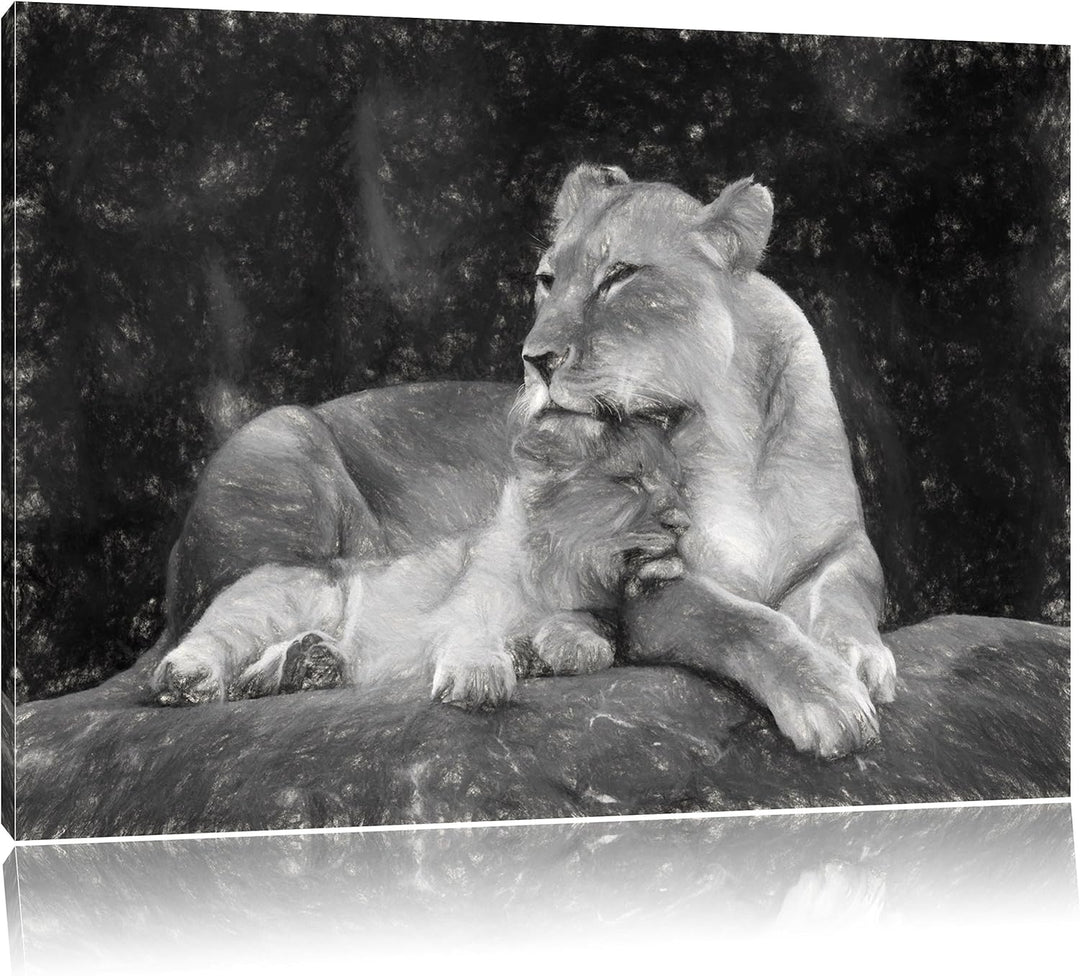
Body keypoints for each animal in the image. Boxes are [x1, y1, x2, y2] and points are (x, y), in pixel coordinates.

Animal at [152, 414, 688, 705]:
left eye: (680, 485)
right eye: (631, 481)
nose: (684, 521)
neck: (557, 574)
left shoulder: (595, 610)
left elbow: (587, 628)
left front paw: (562, 649)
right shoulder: (462, 610)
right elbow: (474, 632)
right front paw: (482, 674)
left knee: (256, 676)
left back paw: (312, 663)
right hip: (280, 606)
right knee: (213, 645)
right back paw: (190, 679)